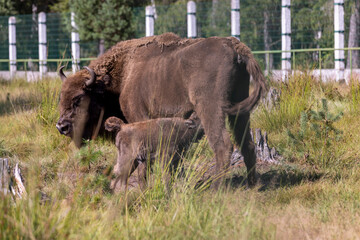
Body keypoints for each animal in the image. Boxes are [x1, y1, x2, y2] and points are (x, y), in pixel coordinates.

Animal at [57, 32, 268, 188]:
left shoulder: (137, 118)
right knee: (247, 143)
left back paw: (217, 188)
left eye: (79, 98)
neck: (125, 72)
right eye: (61, 97)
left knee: (222, 145)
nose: (61, 127)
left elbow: (143, 163)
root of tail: (235, 46)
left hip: (210, 108)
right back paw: (253, 185)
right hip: (240, 107)